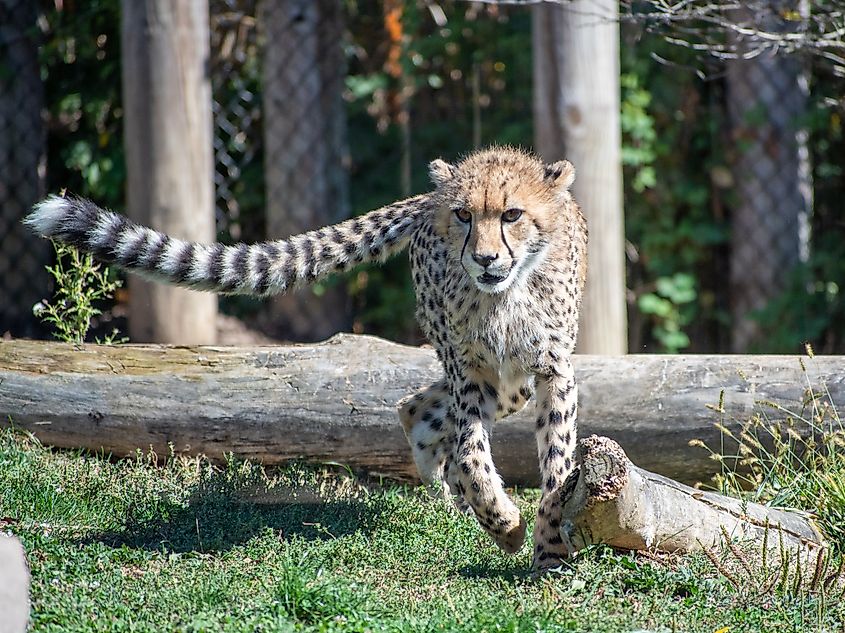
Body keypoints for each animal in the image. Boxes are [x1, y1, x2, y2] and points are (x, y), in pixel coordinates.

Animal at [25, 146, 588, 571]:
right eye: (465, 215)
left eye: (512, 215)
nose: (485, 258)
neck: (506, 295)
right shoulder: (470, 372)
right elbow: (472, 455)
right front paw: (505, 524)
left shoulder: (552, 370)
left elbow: (558, 464)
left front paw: (549, 548)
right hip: (484, 376)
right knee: (417, 410)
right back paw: (451, 495)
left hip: (511, 384)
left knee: (420, 407)